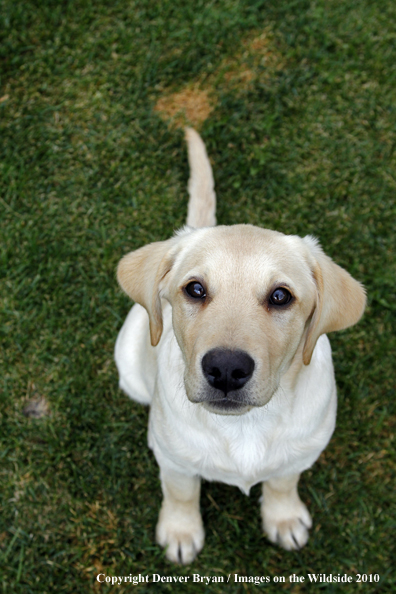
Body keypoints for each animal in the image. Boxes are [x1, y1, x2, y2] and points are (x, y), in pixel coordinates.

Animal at [113, 127, 366, 560]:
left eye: (280, 296)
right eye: (195, 289)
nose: (227, 368)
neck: (247, 424)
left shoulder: (302, 451)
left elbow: (282, 482)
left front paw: (283, 517)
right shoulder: (173, 458)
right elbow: (180, 492)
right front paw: (180, 531)